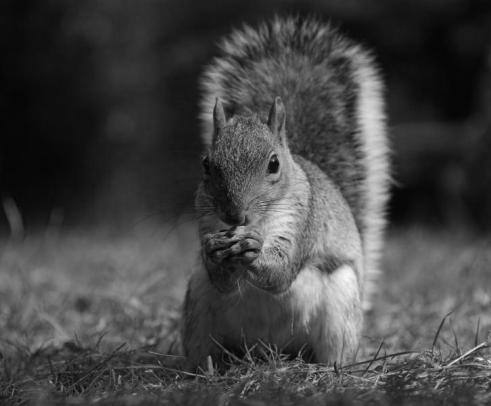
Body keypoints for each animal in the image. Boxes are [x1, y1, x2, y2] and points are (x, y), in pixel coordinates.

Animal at [183, 16, 390, 368]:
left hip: (343, 300)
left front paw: (254, 248)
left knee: (335, 351)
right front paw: (213, 250)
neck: (258, 221)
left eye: (274, 164)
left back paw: (331, 370)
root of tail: (269, 352)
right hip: (197, 304)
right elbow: (221, 280)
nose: (234, 215)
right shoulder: (207, 219)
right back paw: (204, 372)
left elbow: (281, 273)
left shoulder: (303, 221)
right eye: (206, 164)